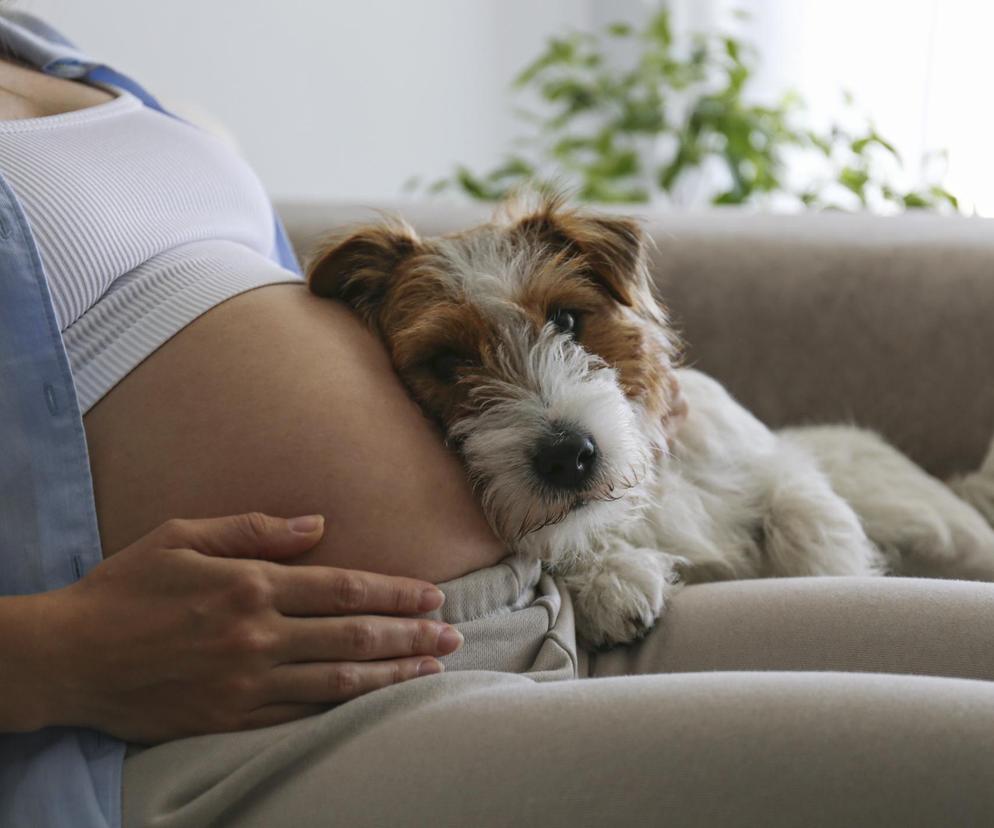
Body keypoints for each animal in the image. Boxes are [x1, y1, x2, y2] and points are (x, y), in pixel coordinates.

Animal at [302, 192, 992, 648]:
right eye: (446, 361)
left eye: (567, 319)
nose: (568, 455)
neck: (648, 494)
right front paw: (610, 576)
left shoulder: (773, 466)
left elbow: (806, 521)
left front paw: (828, 574)